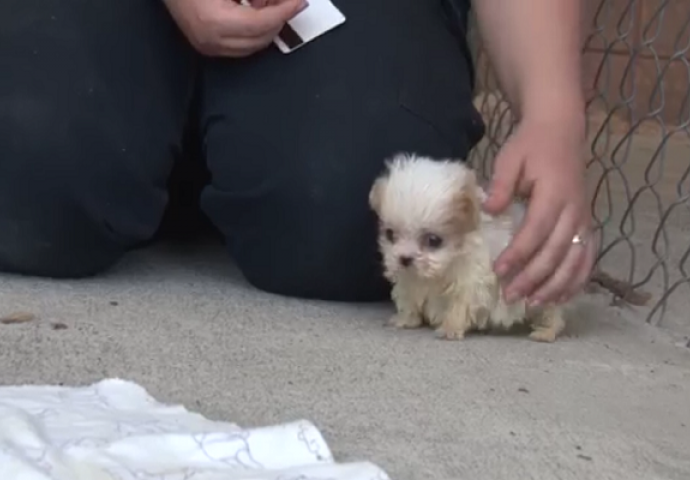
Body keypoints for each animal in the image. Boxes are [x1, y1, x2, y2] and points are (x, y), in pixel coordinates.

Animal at [368, 153, 560, 342]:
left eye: (433, 240)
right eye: (390, 234)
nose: (405, 259)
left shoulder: (471, 281)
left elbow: (460, 306)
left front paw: (450, 328)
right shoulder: (409, 278)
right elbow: (408, 298)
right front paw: (406, 319)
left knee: (551, 314)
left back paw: (546, 332)